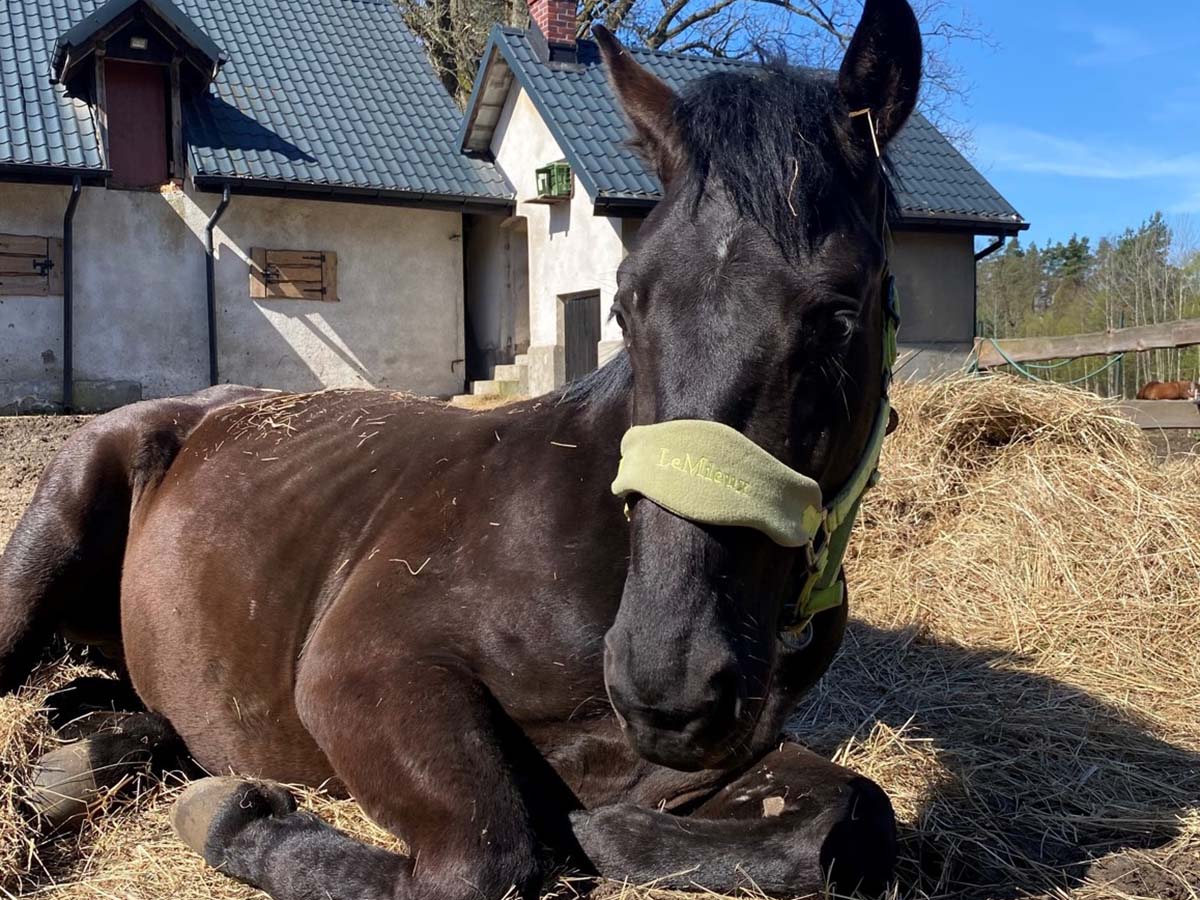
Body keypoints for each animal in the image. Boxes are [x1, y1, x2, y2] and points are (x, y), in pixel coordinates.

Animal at [0, 3, 926, 897]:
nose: (669, 684)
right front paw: (235, 815)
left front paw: (598, 833)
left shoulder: (699, 767)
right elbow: (484, 856)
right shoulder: (360, 671)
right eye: (625, 304)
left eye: (838, 317)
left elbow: (848, 823)